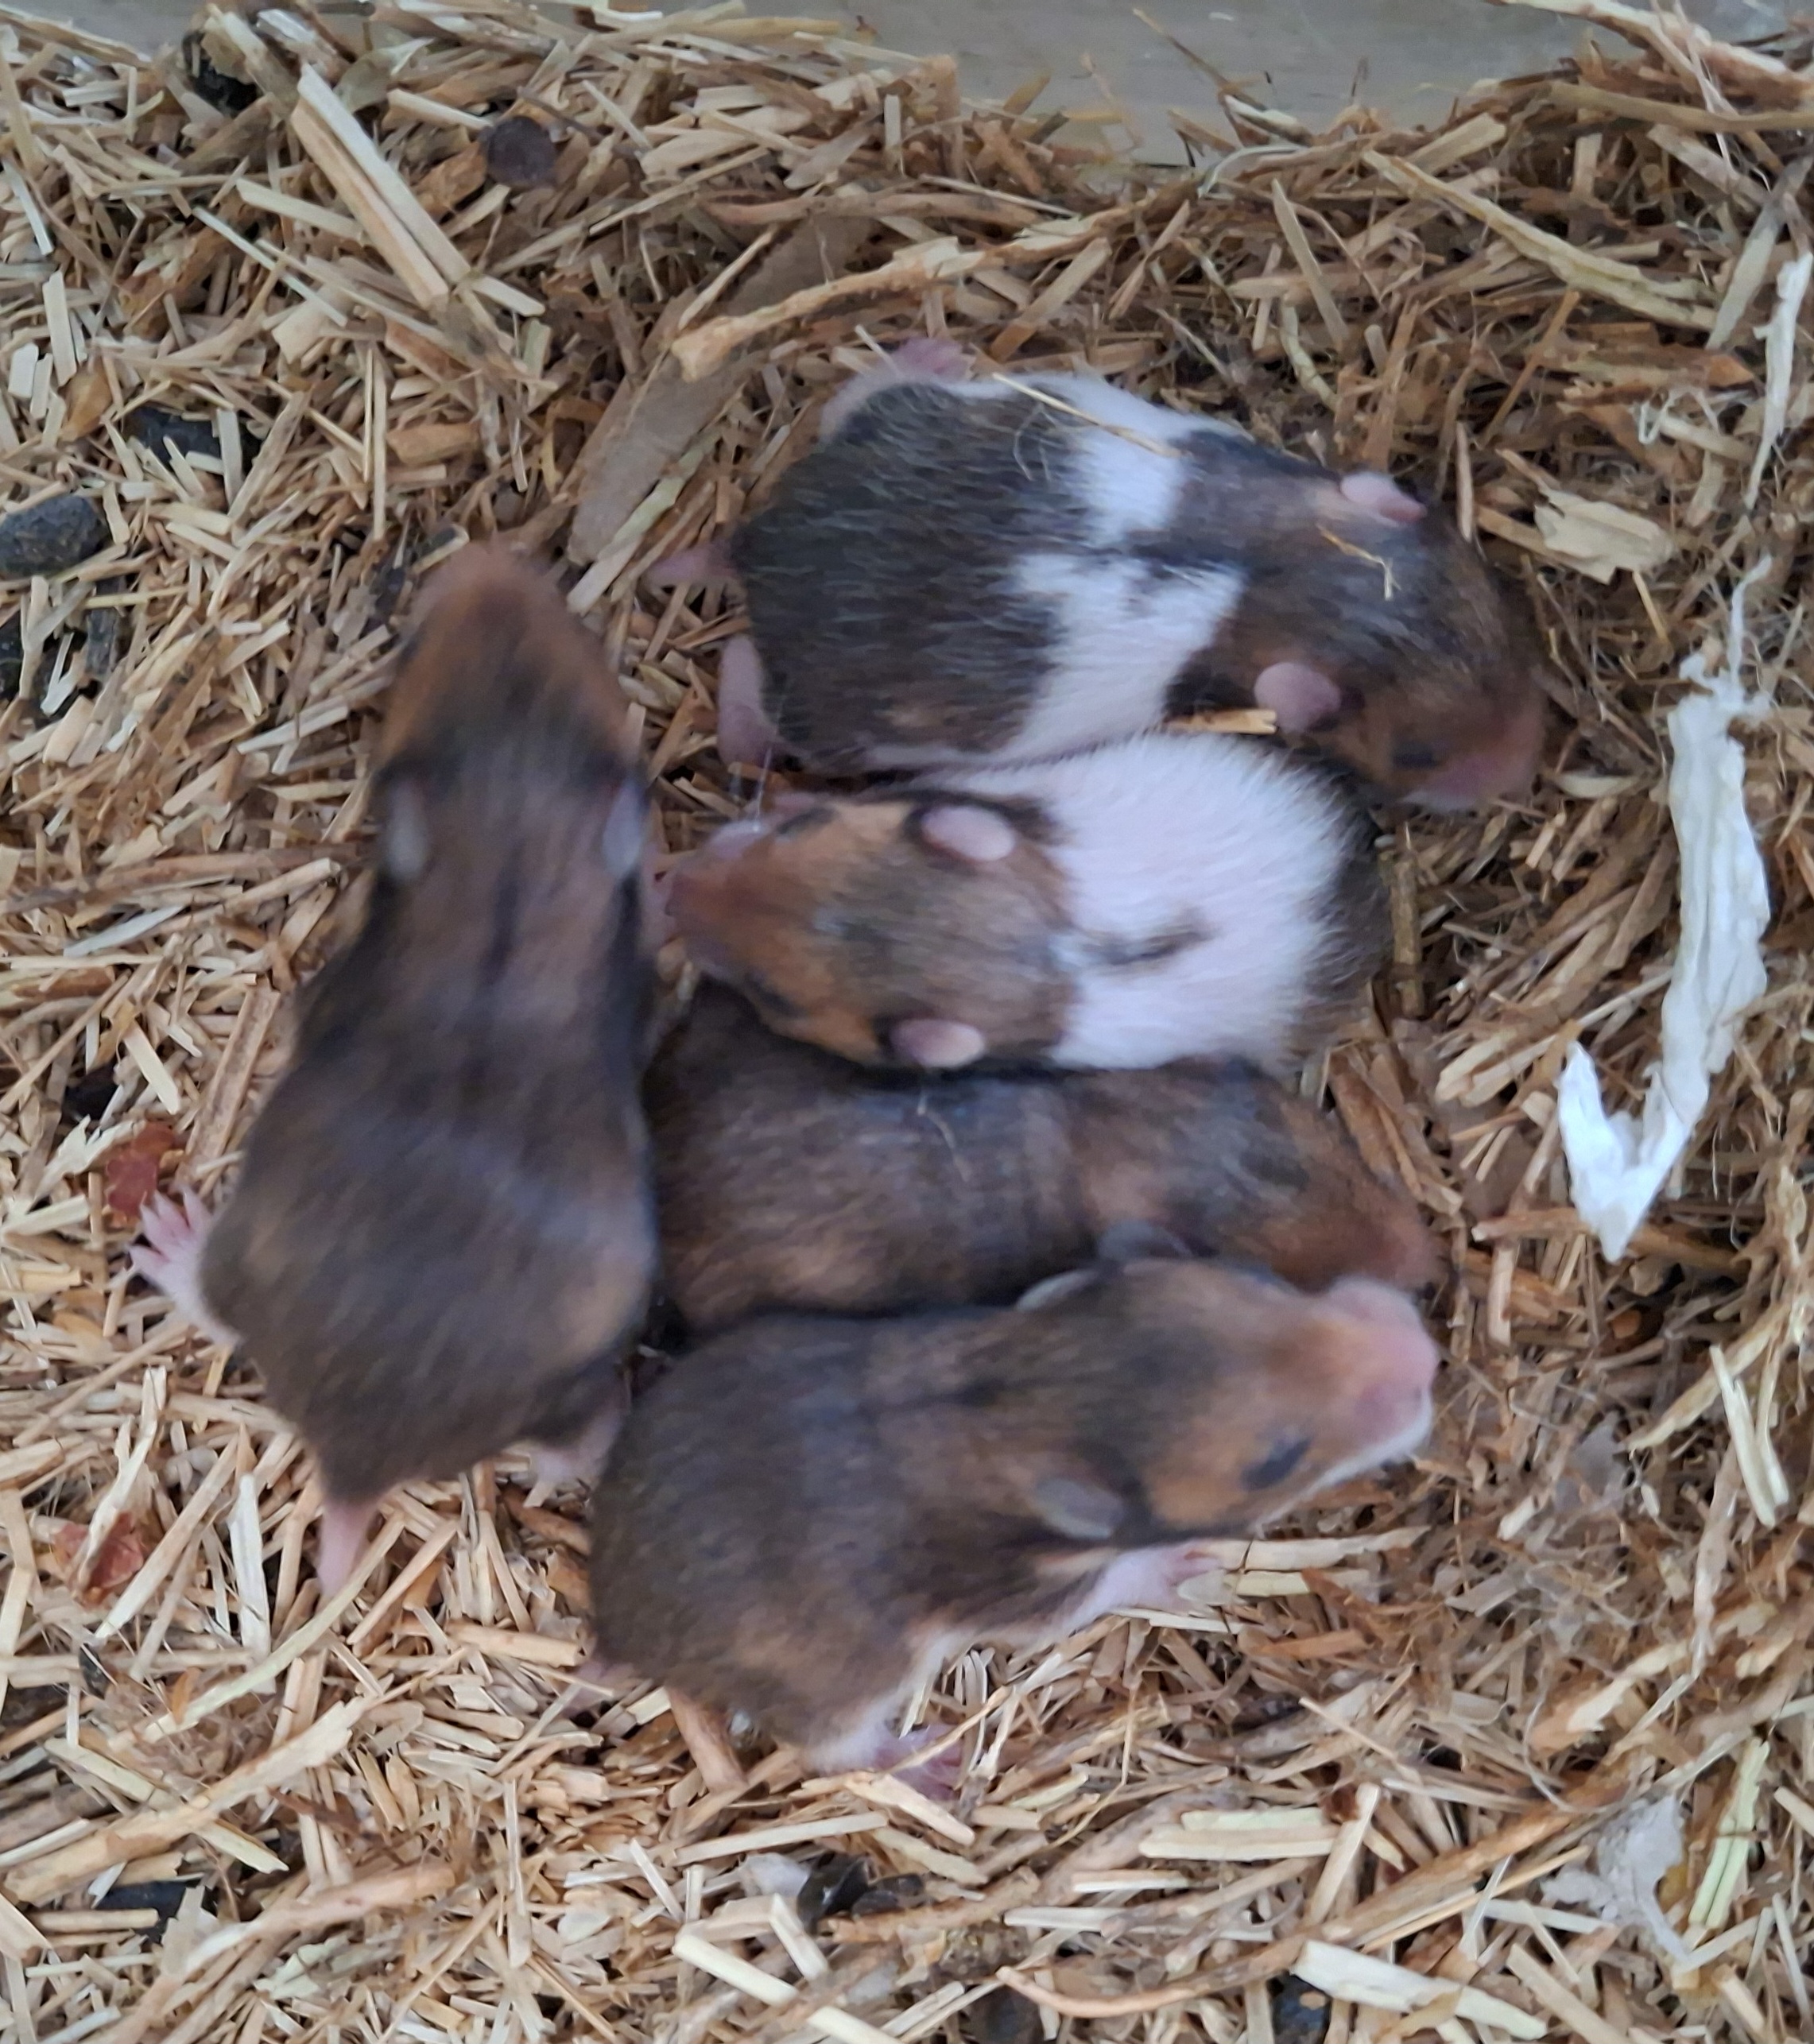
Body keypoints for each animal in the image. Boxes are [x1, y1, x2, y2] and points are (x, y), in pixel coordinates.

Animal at [132, 544, 656, 1591]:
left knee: (218, 1305)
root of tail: (354, 1459)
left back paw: (170, 1247)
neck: (511, 857)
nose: (489, 569)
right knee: (574, 1446)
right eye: (578, 639)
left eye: (413, 653)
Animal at [587, 1253, 1439, 1775]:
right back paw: (928, 1763)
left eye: (1263, 1281)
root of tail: (617, 1631)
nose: (1426, 1354)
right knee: (833, 1751)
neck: (1017, 1398)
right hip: (846, 1683)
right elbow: (1111, 1584)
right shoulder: (1030, 1595)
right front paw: (1187, 1567)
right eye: (1275, 1461)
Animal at [691, 343, 1544, 808]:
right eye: (1417, 757)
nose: (1521, 775)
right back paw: (740, 732)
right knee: (745, 669)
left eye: (1506, 627)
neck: (1292, 577)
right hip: (834, 724)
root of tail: (764, 541)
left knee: (858, 402)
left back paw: (921, 355)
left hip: (898, 425)